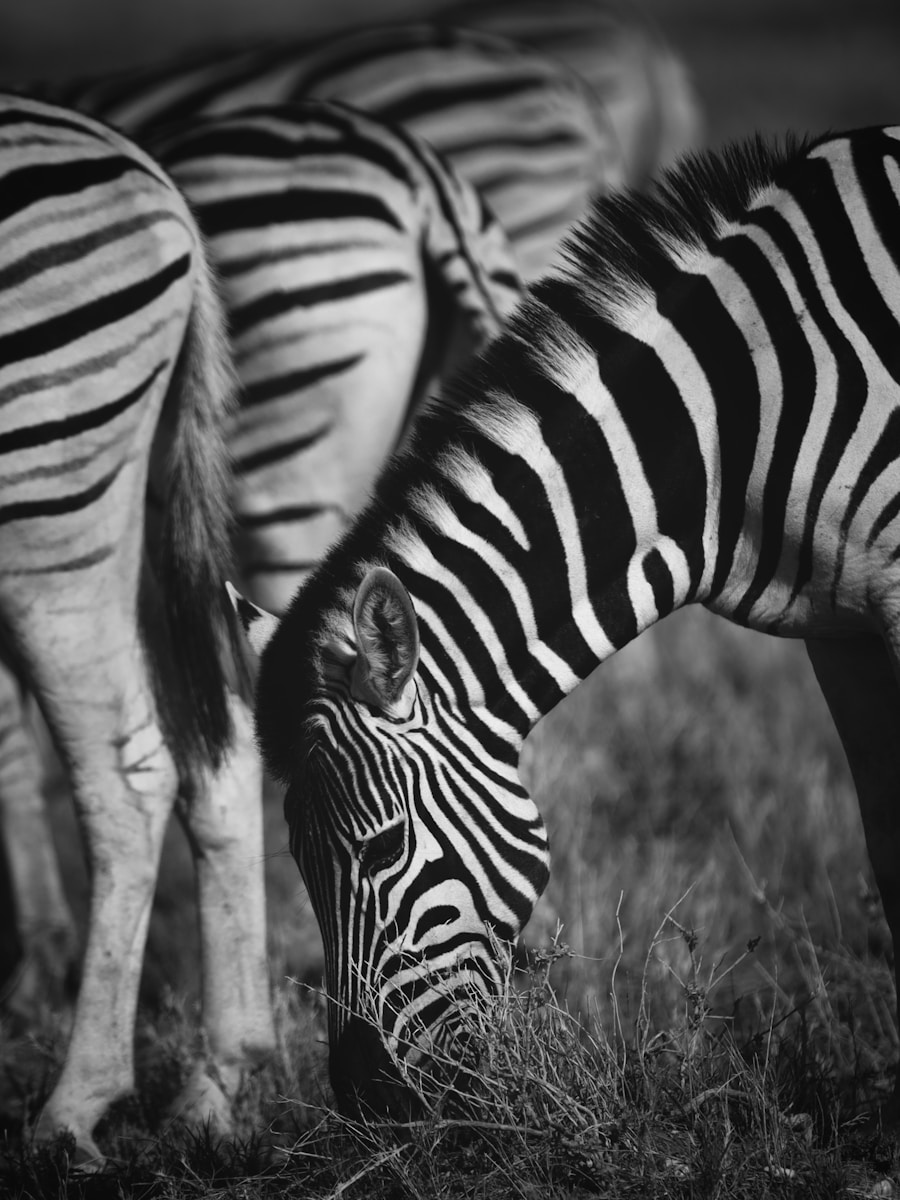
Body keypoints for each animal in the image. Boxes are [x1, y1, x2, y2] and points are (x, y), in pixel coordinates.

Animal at [0, 94, 274, 1161]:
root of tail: (147, 170)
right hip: (146, 493)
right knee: (224, 741)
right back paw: (219, 1089)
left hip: (48, 500)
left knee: (127, 780)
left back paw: (73, 1108)